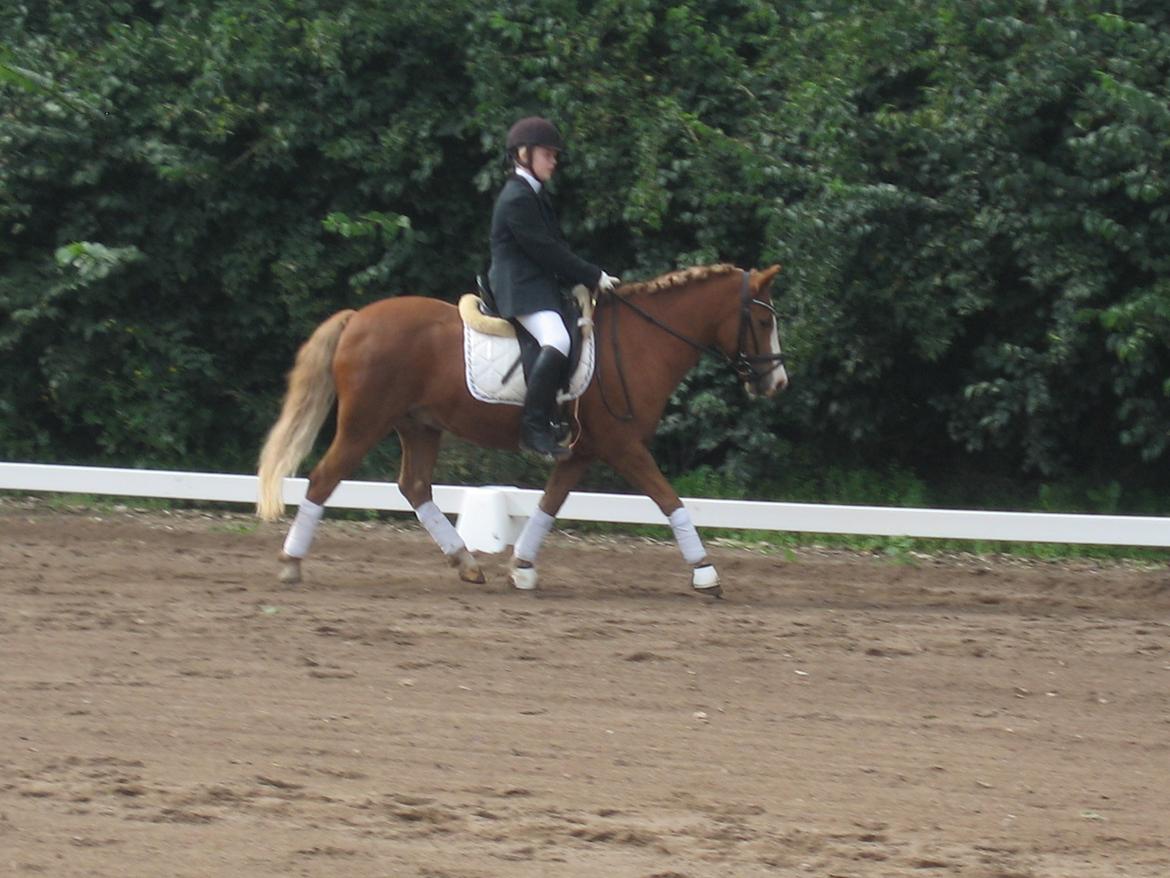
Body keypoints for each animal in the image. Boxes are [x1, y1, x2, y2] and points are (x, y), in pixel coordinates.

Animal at [256, 263, 786, 599]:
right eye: (763, 319)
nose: (777, 382)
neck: (641, 342)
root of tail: (356, 320)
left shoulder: (580, 451)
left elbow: (549, 505)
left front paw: (523, 568)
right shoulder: (624, 446)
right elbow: (669, 499)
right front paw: (706, 573)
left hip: (419, 425)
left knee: (415, 486)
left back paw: (467, 564)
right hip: (364, 423)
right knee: (324, 479)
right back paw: (290, 563)